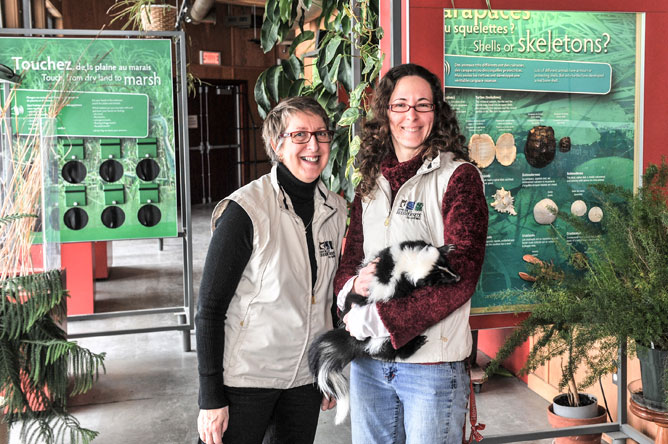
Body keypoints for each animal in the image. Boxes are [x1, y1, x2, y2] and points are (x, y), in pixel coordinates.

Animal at [308, 239, 460, 424]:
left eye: (447, 265)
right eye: (438, 278)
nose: (457, 277)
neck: (405, 262)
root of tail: (353, 339)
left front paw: (446, 247)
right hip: (380, 338)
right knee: (390, 349)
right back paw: (415, 343)